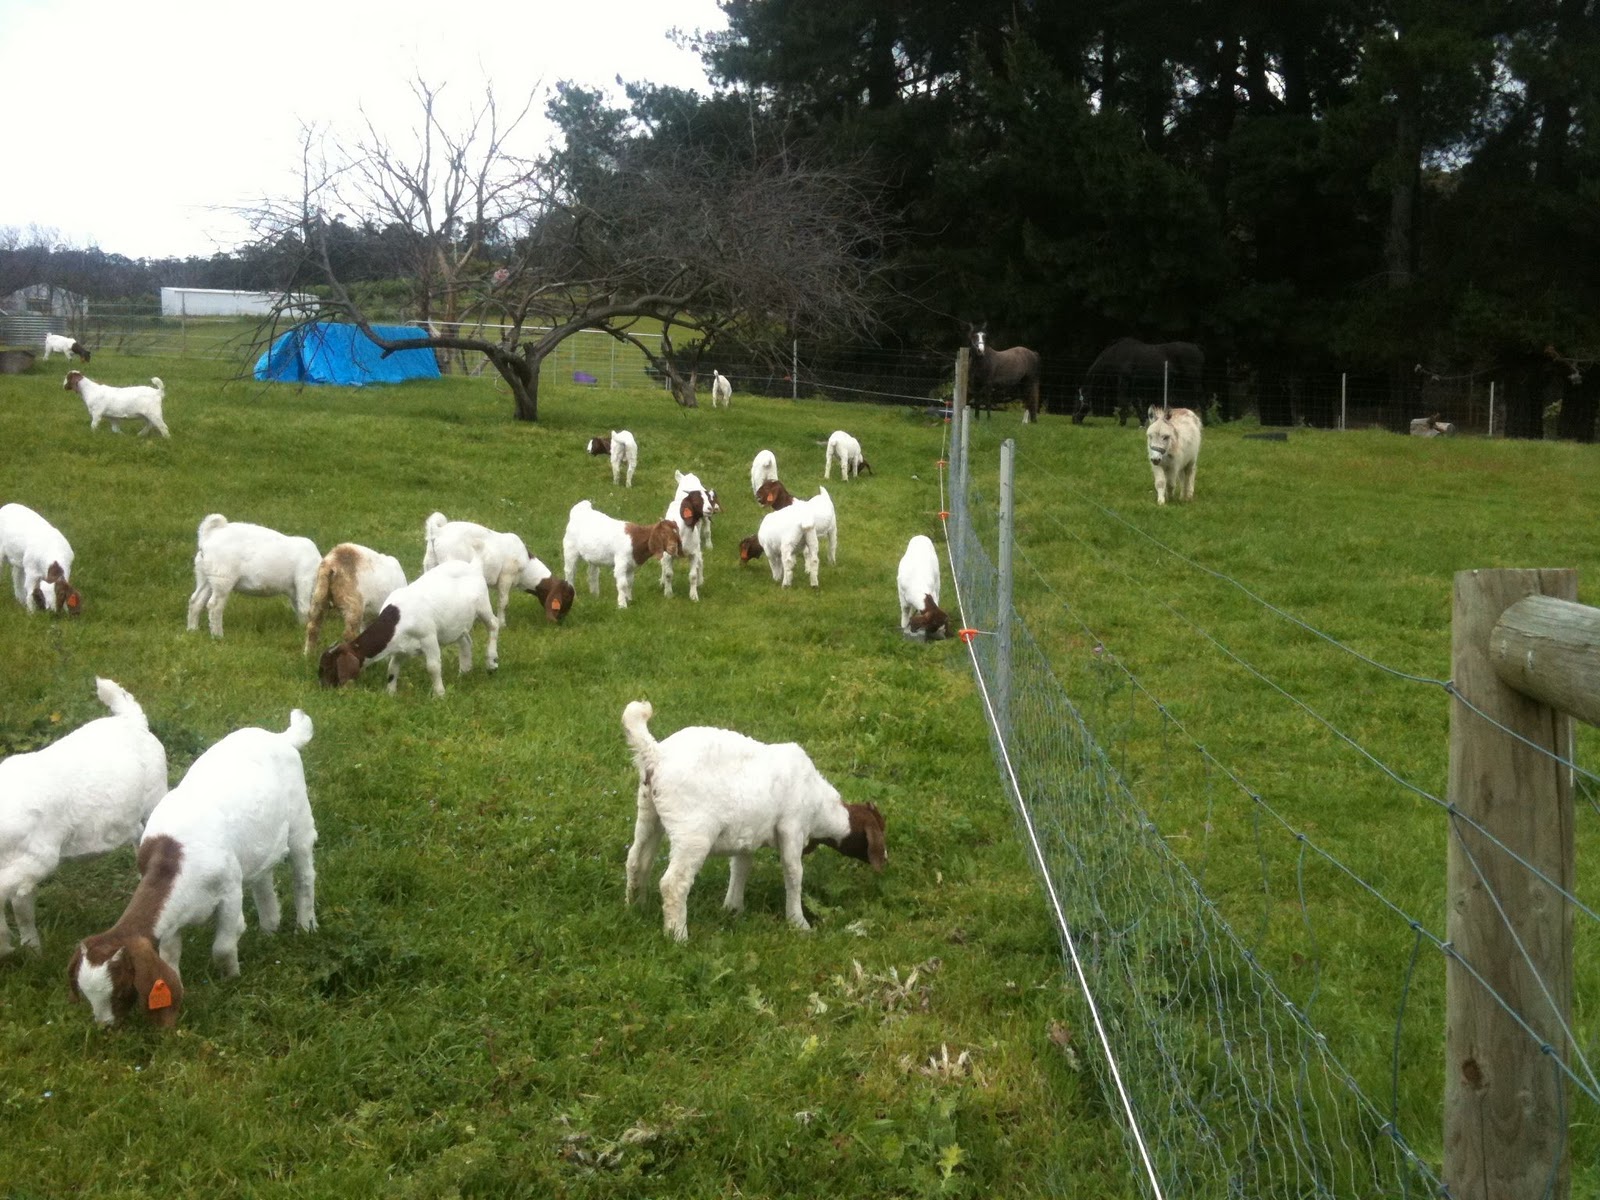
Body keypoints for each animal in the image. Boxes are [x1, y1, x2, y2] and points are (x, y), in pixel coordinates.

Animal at [1, 678, 167, 956]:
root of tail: (132, 720)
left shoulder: (38, 857)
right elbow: (23, 910)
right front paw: (27, 947)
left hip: (156, 794)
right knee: (136, 833)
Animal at [68, 709, 316, 1028]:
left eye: (122, 988)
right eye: (86, 994)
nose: (106, 1027)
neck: (174, 858)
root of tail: (281, 738)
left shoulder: (229, 889)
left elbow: (223, 945)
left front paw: (232, 977)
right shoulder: (171, 917)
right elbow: (169, 953)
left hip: (300, 820)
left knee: (303, 876)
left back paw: (305, 927)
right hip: (259, 844)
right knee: (263, 879)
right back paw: (269, 929)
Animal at [186, 514, 321, 639]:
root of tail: (209, 536)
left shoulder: (295, 591)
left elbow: (298, 607)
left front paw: (301, 627)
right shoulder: (304, 579)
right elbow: (305, 608)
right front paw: (305, 630)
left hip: (205, 575)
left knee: (196, 600)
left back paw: (192, 630)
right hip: (223, 577)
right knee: (214, 606)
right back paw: (218, 635)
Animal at [318, 559, 500, 696]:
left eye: (329, 667)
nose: (323, 688)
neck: (398, 619)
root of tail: (473, 566)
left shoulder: (429, 638)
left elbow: (433, 667)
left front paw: (439, 694)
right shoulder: (400, 648)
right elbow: (392, 669)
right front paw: (390, 693)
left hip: (483, 605)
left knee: (494, 624)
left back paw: (491, 661)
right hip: (457, 624)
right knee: (465, 641)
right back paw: (464, 671)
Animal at [621, 700, 885, 941]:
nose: (886, 860)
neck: (819, 805)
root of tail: (656, 755)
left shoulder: (747, 836)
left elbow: (740, 868)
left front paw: (733, 909)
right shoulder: (792, 827)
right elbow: (794, 873)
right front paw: (799, 923)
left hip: (649, 813)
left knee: (636, 860)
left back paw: (636, 907)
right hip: (693, 832)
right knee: (673, 883)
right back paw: (677, 936)